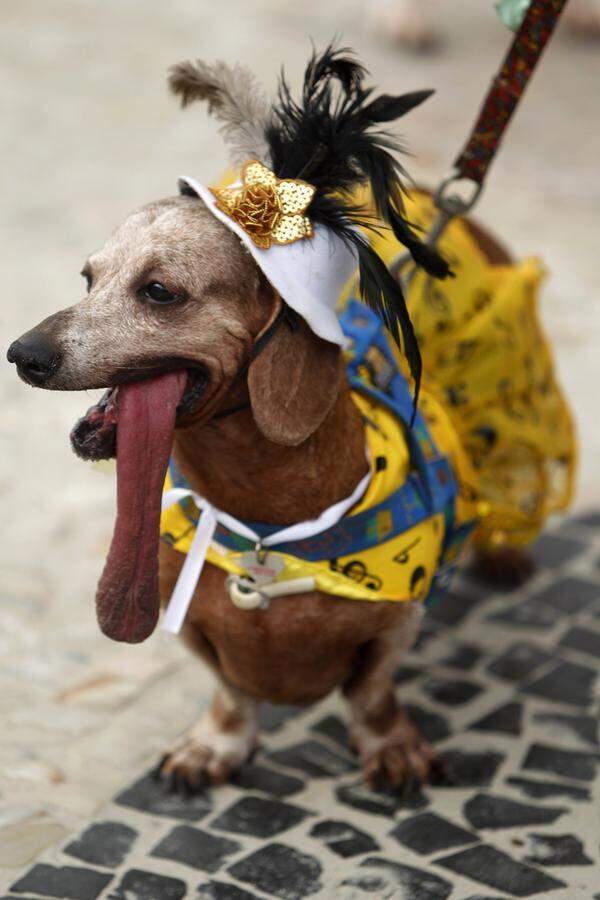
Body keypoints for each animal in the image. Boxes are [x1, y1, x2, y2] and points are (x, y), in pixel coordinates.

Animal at [7, 45, 576, 792]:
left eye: (159, 291)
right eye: (87, 279)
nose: (22, 354)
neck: (264, 524)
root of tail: (435, 193)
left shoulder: (398, 620)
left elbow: (372, 692)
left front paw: (392, 747)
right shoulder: (194, 623)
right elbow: (231, 691)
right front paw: (215, 745)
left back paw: (505, 550)